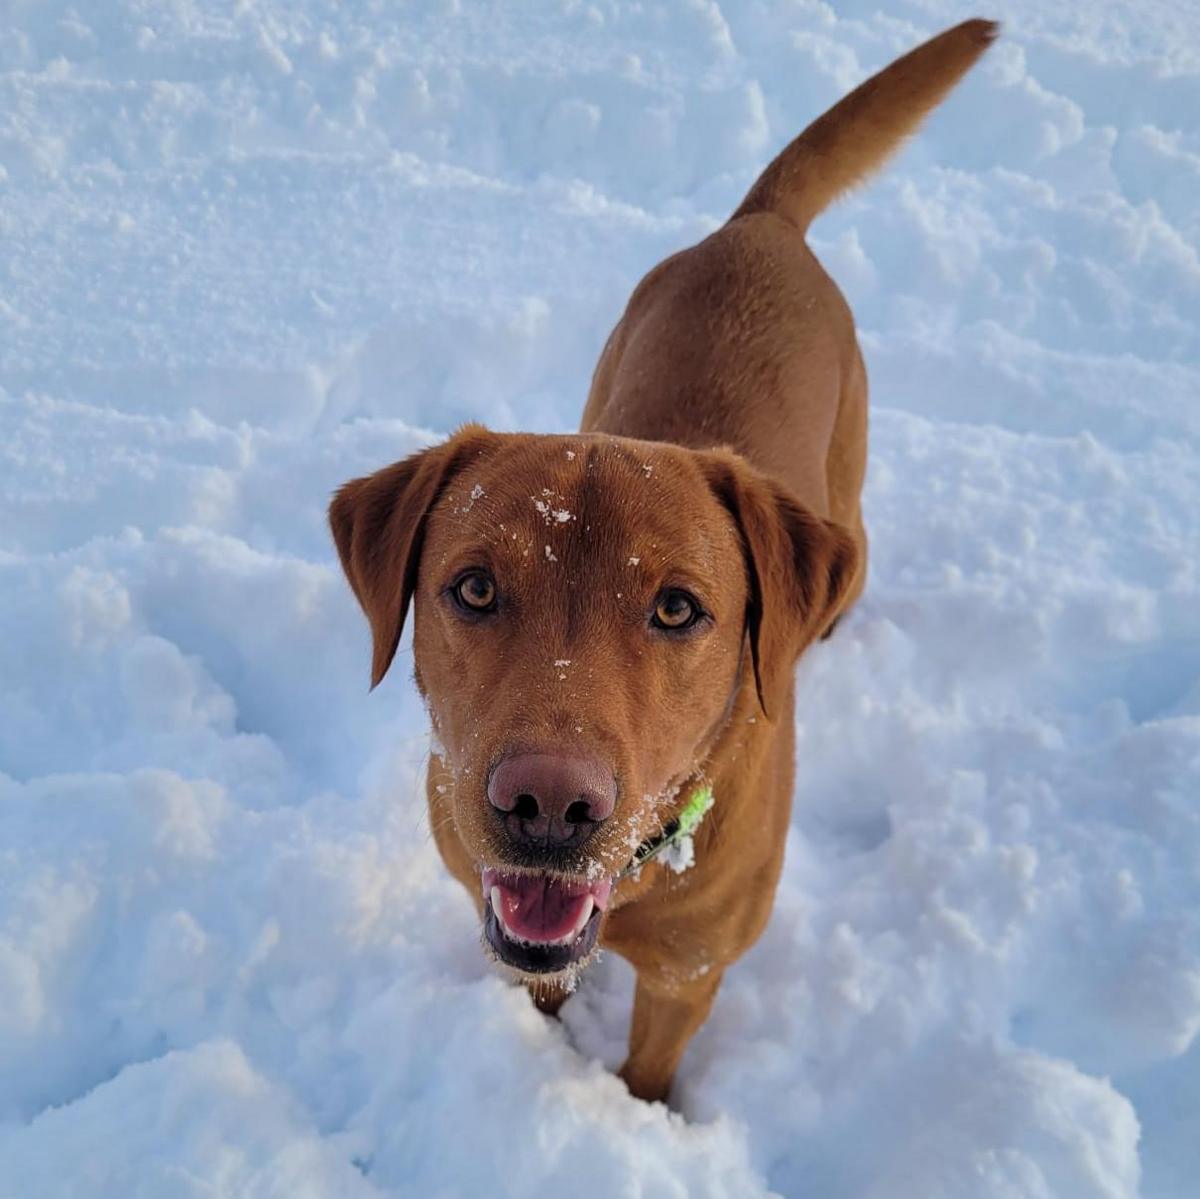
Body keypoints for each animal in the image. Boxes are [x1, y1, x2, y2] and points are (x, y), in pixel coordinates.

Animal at [328, 21, 993, 1104]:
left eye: (679, 608)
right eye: (474, 587)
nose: (547, 805)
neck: (642, 873)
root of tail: (760, 224)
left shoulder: (692, 970)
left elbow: (648, 1065)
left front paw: (636, 1111)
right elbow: (537, 981)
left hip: (851, 493)